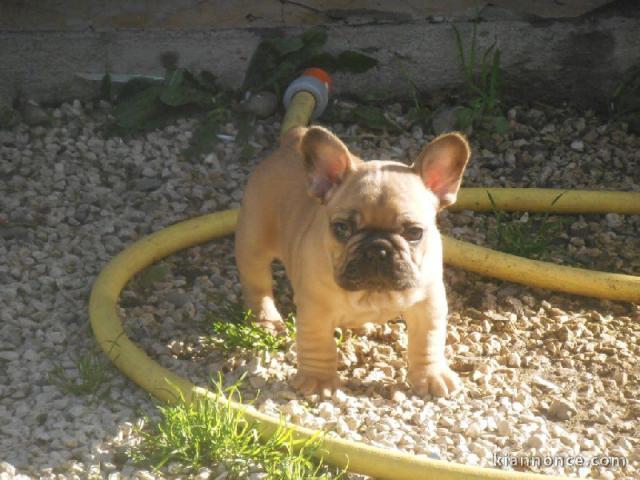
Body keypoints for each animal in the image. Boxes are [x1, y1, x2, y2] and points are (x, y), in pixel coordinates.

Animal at [235, 124, 470, 398]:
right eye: (341, 229)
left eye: (414, 233)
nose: (377, 248)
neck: (373, 293)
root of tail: (293, 139)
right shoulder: (315, 311)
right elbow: (318, 345)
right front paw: (318, 380)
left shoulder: (428, 304)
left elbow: (428, 342)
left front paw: (431, 376)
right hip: (253, 241)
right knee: (257, 284)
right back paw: (267, 320)